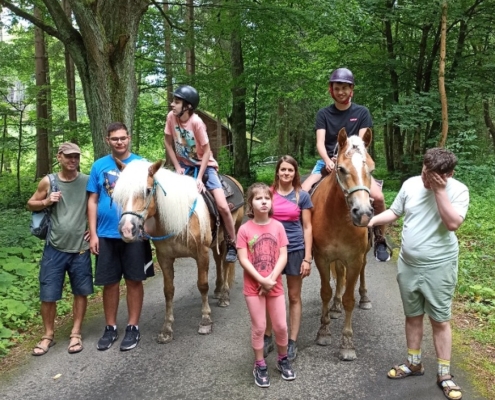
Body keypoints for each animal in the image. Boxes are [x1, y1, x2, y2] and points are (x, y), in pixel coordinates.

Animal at [112, 159, 244, 344]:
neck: (179, 218)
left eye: (147, 190)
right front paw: (167, 328)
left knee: (225, 262)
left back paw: (224, 295)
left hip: (230, 233)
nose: (126, 229)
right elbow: (168, 291)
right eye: (120, 193)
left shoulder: (201, 254)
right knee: (219, 261)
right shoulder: (165, 258)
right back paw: (218, 290)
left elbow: (202, 285)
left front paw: (205, 320)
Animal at [312, 129, 374, 362]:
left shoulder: (354, 260)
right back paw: (335, 306)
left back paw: (364, 298)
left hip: (363, 256)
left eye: (371, 169)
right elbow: (325, 292)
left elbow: (349, 299)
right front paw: (324, 332)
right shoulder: (322, 258)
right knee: (339, 275)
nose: (363, 213)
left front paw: (347, 343)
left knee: (361, 273)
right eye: (341, 169)